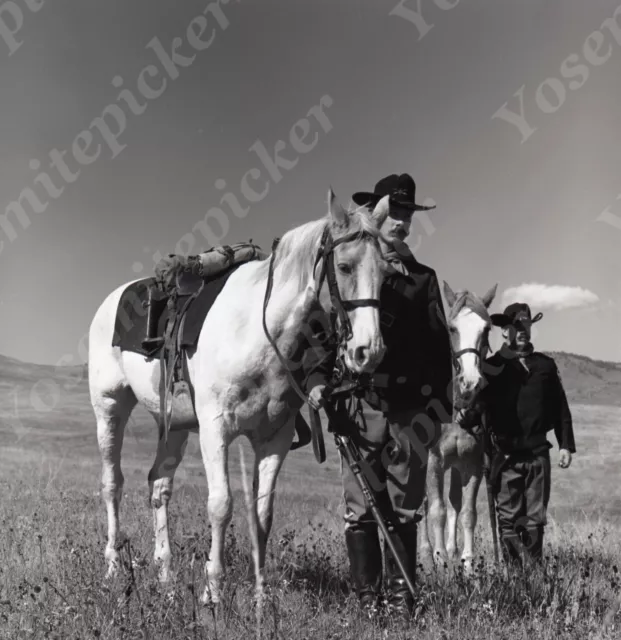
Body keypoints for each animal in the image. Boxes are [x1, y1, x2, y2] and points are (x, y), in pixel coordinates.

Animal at [87, 191, 388, 604]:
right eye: (343, 266)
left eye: (385, 273)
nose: (368, 352)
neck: (258, 332)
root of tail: (112, 299)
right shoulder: (216, 429)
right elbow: (221, 505)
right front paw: (213, 590)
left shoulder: (274, 438)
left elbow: (262, 514)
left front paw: (260, 595)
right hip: (110, 407)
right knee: (112, 483)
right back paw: (113, 566)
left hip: (173, 424)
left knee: (159, 485)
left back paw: (165, 574)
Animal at [418, 280, 496, 568]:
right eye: (452, 328)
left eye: (486, 329)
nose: (470, 382)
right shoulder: (433, 461)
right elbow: (437, 509)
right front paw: (439, 559)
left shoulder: (472, 463)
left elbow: (467, 512)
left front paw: (467, 562)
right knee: (424, 503)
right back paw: (427, 552)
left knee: (454, 501)